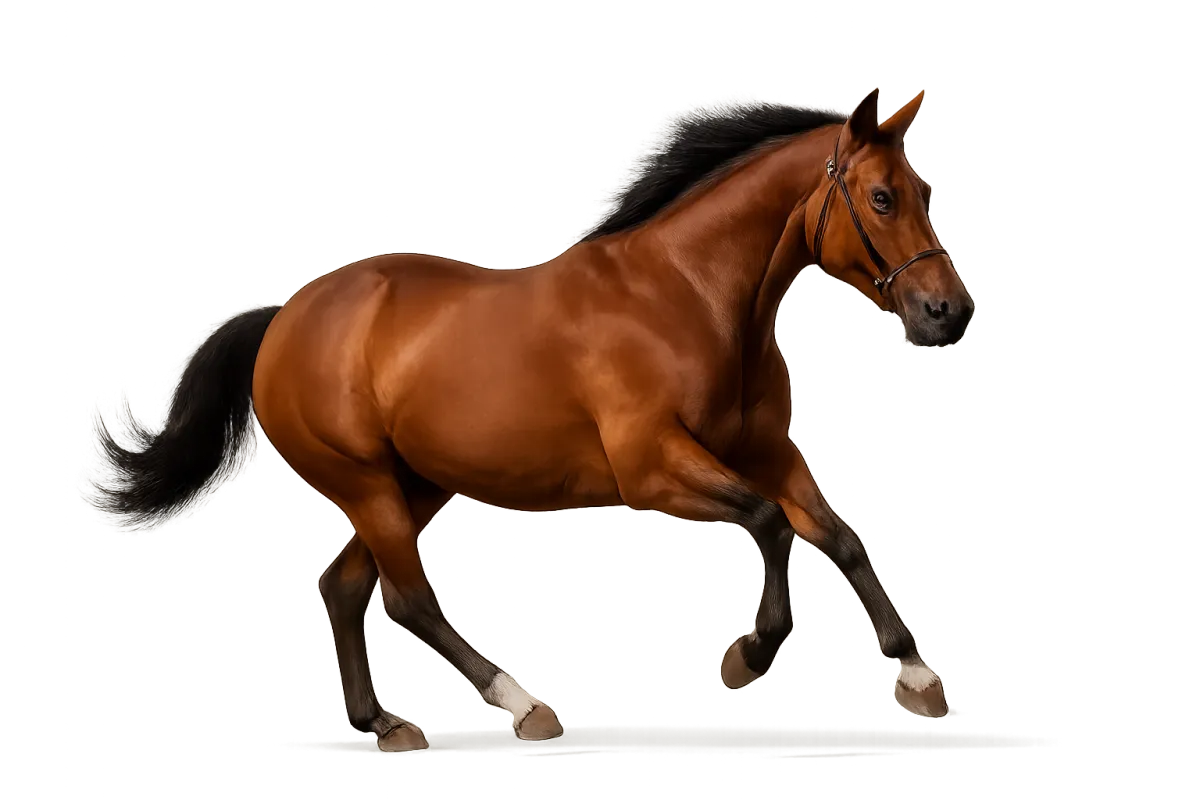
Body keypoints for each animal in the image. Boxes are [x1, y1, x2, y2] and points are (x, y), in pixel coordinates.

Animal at [93, 88, 974, 752]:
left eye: (927, 193)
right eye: (883, 197)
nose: (950, 314)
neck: (688, 294)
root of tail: (285, 317)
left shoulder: (766, 448)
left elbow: (839, 536)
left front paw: (917, 673)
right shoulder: (653, 467)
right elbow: (769, 523)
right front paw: (747, 655)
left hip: (414, 486)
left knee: (344, 587)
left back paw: (380, 724)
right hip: (368, 485)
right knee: (408, 600)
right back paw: (525, 705)